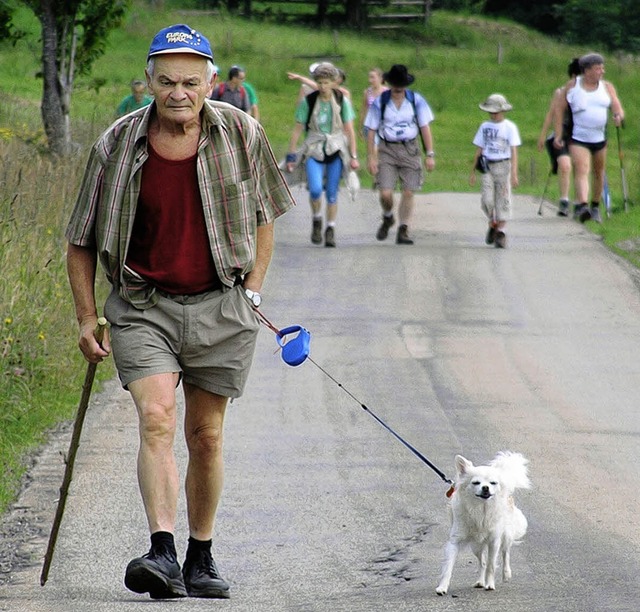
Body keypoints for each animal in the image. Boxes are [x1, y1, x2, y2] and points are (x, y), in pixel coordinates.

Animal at [436, 450, 528, 592]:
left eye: (493, 483)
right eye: (476, 483)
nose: (485, 487)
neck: (481, 509)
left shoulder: (494, 541)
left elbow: (491, 565)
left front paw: (490, 584)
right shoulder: (455, 541)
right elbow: (448, 567)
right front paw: (442, 587)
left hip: (505, 535)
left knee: (505, 552)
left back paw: (506, 574)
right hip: (476, 546)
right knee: (482, 562)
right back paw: (480, 581)